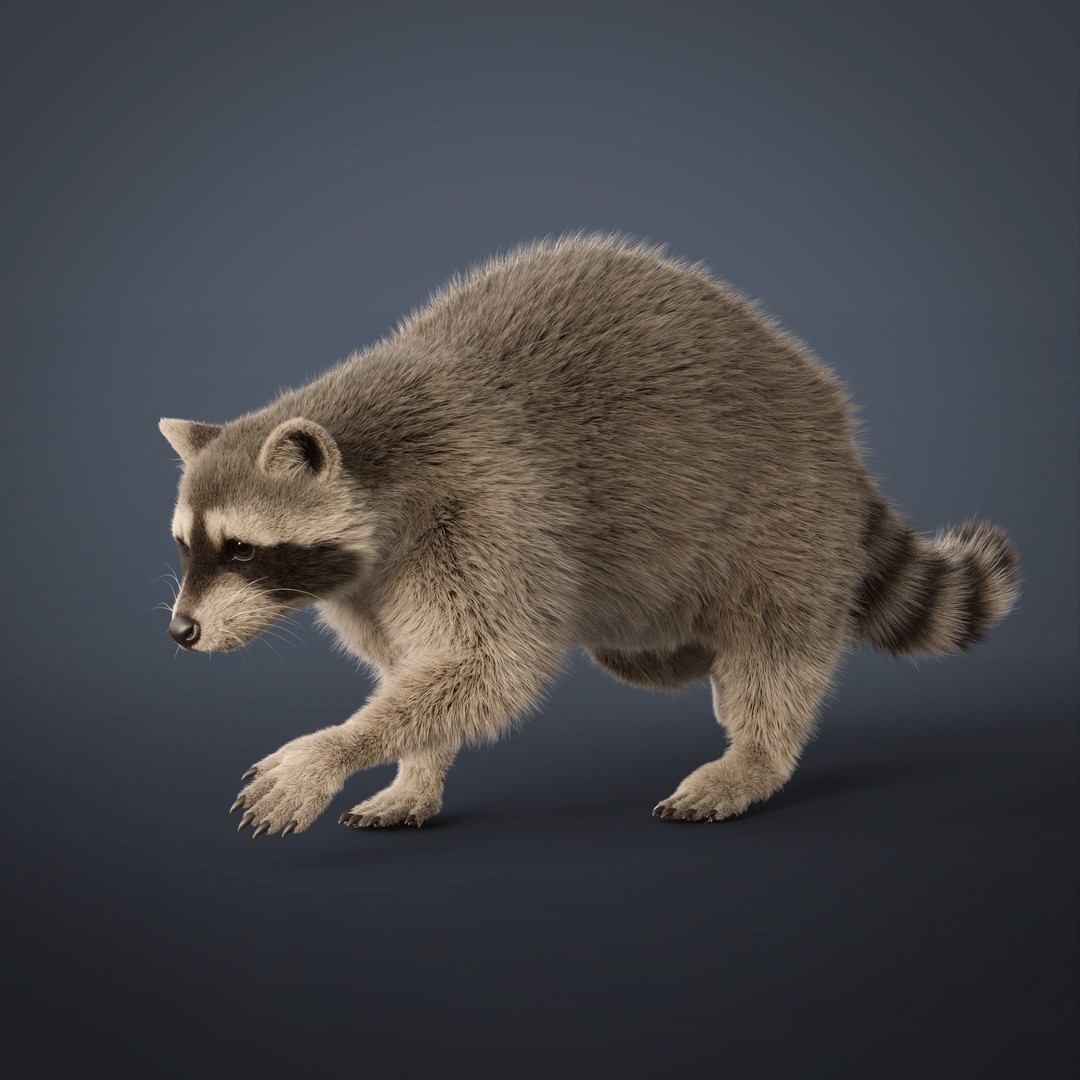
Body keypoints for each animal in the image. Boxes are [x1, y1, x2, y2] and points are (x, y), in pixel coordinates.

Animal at [159, 233, 1020, 837]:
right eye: (184, 546)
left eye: (241, 548)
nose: (181, 631)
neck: (376, 466)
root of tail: (833, 424)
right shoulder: (371, 582)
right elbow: (421, 668)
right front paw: (413, 770)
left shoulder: (484, 510)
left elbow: (488, 665)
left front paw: (332, 750)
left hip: (780, 508)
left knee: (772, 640)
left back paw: (754, 755)